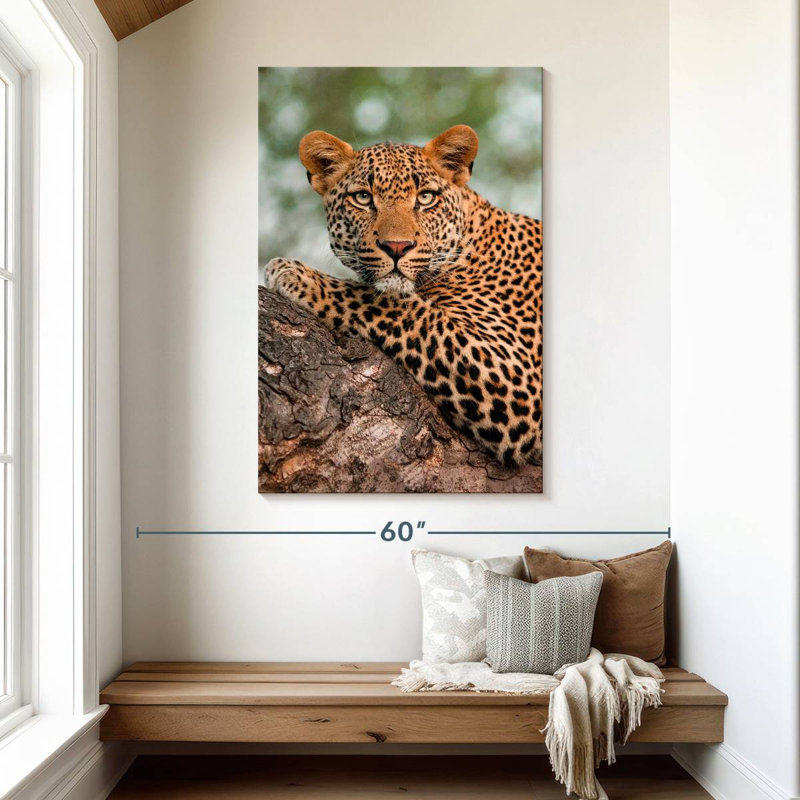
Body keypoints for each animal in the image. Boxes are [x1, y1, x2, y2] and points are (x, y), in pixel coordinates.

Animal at [266, 124, 542, 466]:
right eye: (363, 198)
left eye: (425, 198)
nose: (397, 247)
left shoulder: (517, 380)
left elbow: (398, 307)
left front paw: (297, 275)